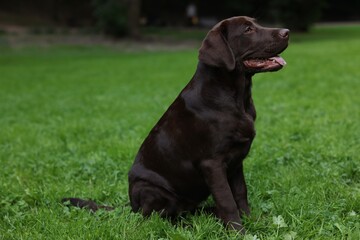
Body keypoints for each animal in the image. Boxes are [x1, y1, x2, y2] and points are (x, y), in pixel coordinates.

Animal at [63, 15, 288, 232]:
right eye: (248, 29)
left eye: (256, 24)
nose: (286, 32)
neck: (237, 98)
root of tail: (131, 206)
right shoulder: (212, 163)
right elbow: (227, 201)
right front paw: (238, 232)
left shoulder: (236, 161)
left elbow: (240, 194)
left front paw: (251, 221)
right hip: (152, 190)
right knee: (155, 218)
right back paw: (187, 226)